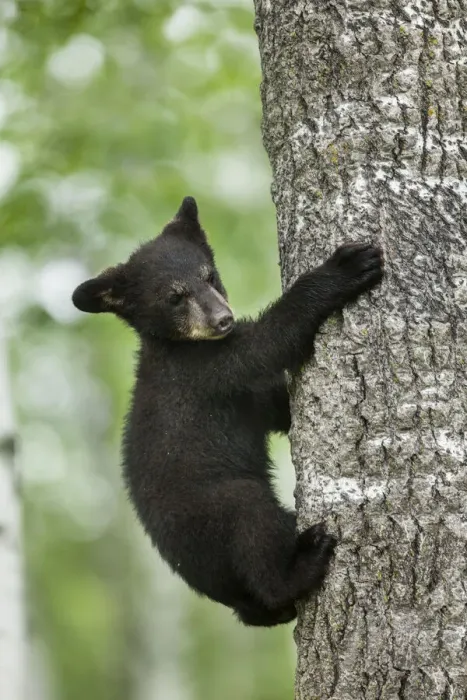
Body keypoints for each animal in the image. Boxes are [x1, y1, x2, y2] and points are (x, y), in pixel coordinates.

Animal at [72, 196, 384, 627]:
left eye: (209, 275)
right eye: (175, 296)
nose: (223, 319)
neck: (177, 344)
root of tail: (234, 601)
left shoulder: (246, 395)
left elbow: (275, 409)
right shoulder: (205, 370)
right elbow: (268, 342)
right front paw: (346, 267)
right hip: (219, 514)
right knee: (253, 528)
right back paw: (304, 564)